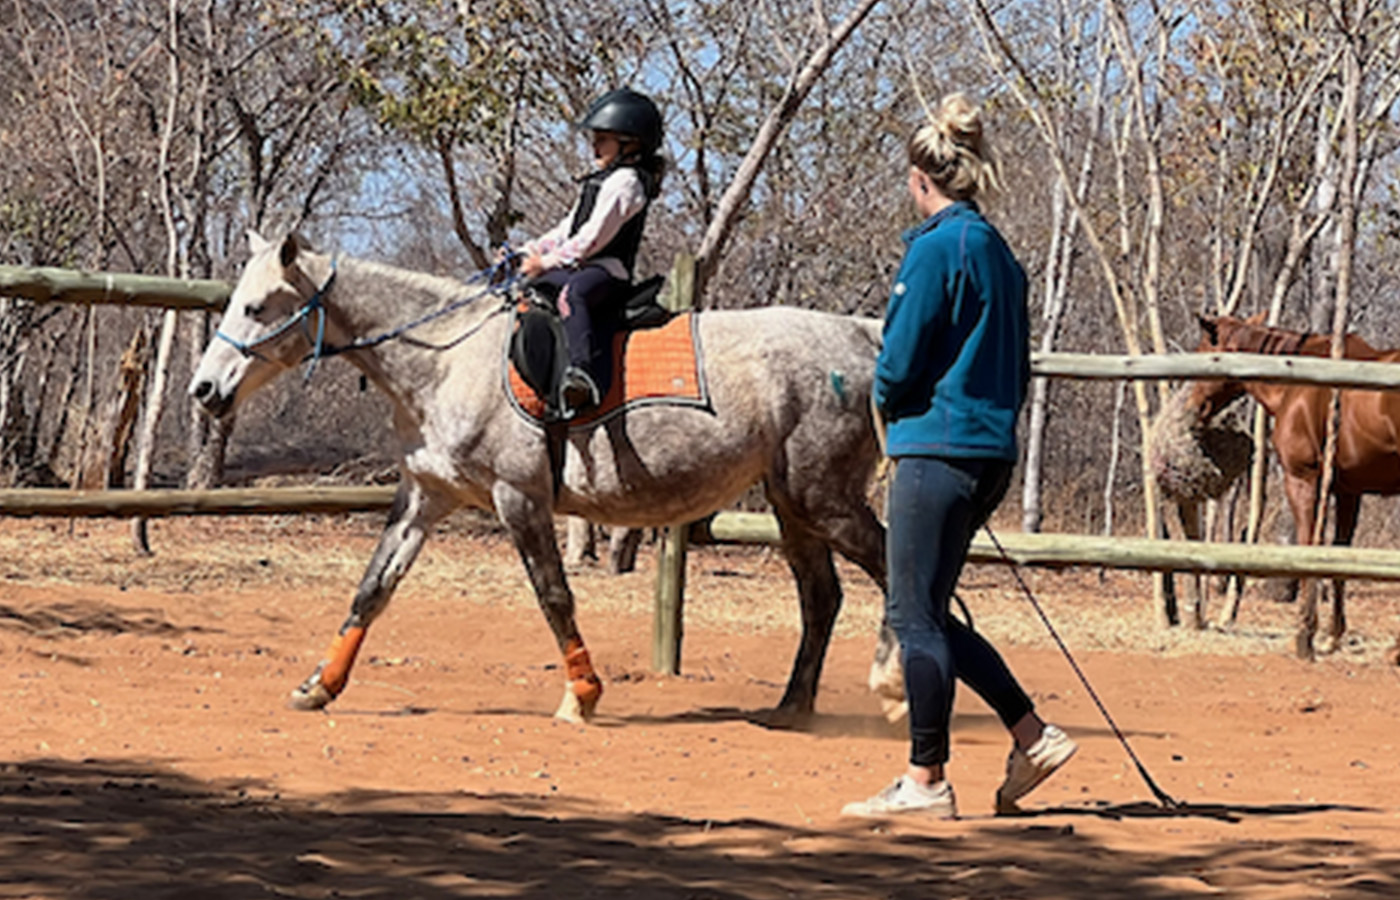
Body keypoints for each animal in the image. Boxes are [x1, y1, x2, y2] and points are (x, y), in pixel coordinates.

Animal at [189, 233, 896, 727]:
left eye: (257, 306)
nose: (204, 389)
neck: (449, 357)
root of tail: (863, 335)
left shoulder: (519, 497)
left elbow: (554, 596)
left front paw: (581, 697)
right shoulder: (425, 495)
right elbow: (373, 589)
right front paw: (319, 686)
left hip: (824, 499)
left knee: (892, 568)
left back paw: (899, 692)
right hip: (793, 506)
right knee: (823, 598)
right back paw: (794, 706)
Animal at [1192, 313, 1400, 657]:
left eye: (1203, 354)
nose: (1194, 408)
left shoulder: (1302, 480)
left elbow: (1308, 547)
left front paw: (1305, 634)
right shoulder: (1348, 491)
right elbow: (1338, 552)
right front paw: (1333, 635)